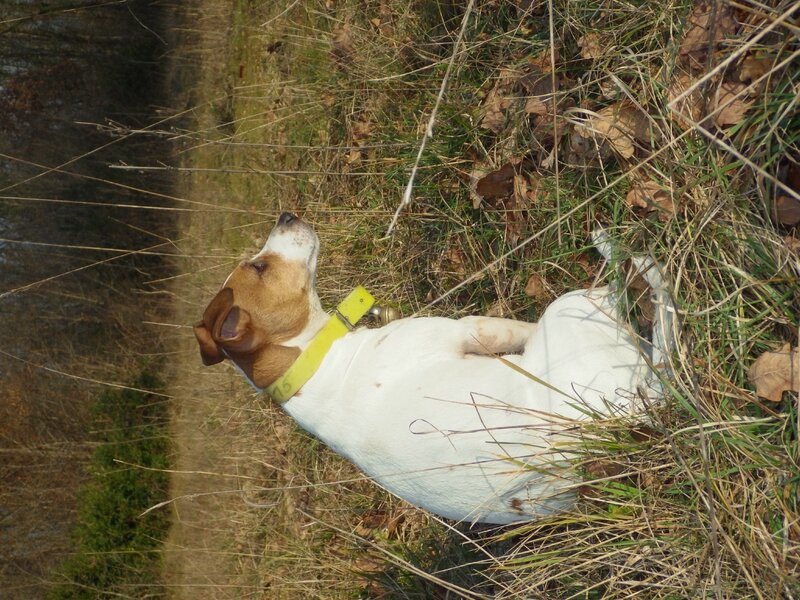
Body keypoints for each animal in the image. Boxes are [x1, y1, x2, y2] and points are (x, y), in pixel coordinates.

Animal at [195, 213, 676, 524]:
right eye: (260, 266)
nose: (286, 214)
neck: (309, 359)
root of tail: (634, 414)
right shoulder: (472, 330)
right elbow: (513, 331)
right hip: (571, 308)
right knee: (633, 297)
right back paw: (626, 256)